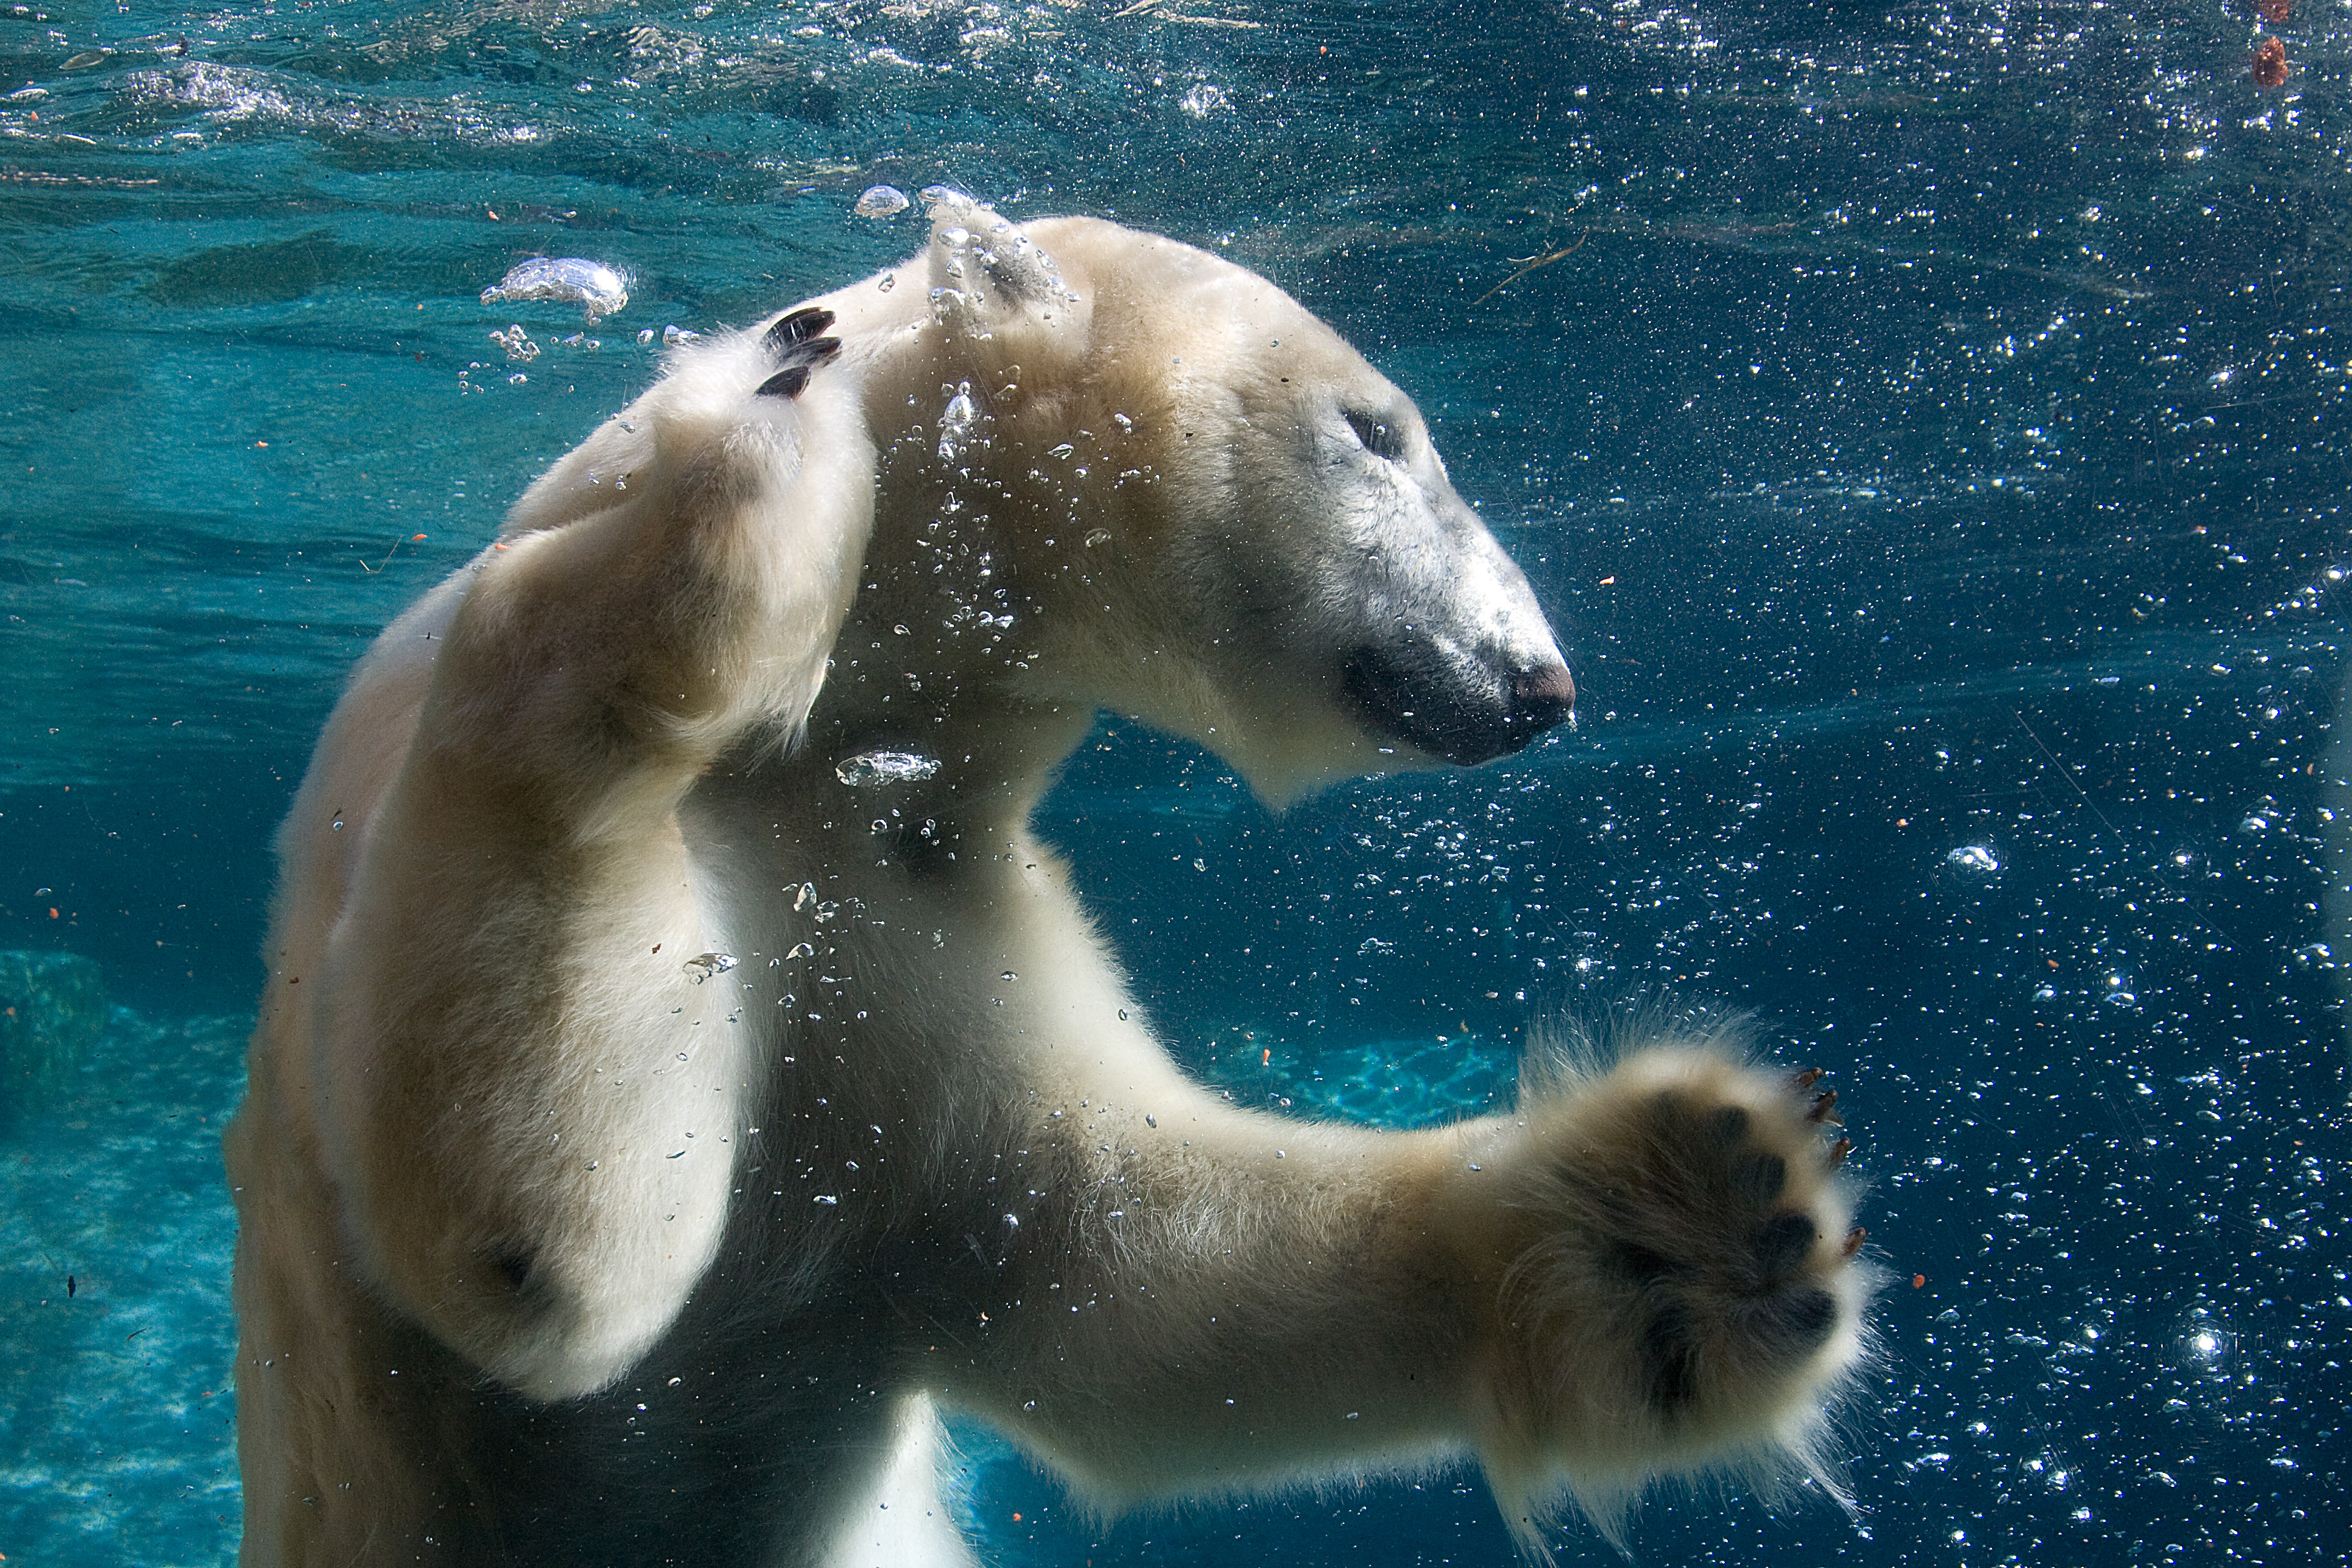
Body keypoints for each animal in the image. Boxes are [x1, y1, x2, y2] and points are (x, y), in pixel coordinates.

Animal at [226, 190, 1868, 1566]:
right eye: (1379, 432)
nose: (1542, 684)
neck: (856, 744)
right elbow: (545, 1245)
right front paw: (746, 444)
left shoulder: (940, 903)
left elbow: (1111, 1266)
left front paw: (1689, 1220)